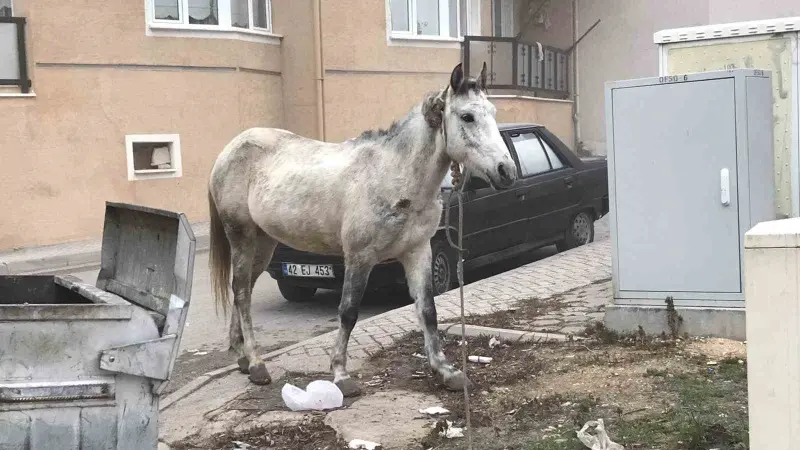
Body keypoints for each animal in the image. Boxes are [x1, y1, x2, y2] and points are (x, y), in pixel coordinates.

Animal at [208, 62, 520, 398]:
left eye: (493, 111)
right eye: (467, 116)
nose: (507, 171)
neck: (395, 176)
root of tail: (228, 151)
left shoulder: (418, 251)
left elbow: (427, 310)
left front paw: (446, 372)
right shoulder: (360, 257)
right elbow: (348, 311)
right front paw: (341, 374)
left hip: (264, 243)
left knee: (243, 290)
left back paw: (242, 358)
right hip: (241, 236)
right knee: (242, 292)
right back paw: (256, 364)